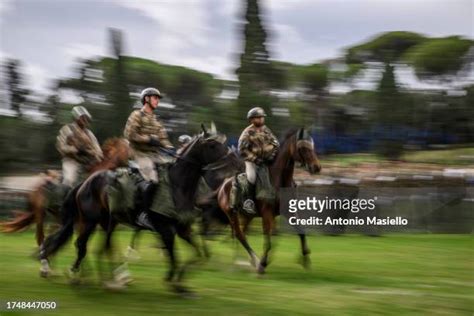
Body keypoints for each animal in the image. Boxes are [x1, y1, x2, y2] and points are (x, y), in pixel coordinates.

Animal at [218, 128, 322, 274]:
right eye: (303, 148)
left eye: (312, 147)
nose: (316, 167)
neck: (279, 180)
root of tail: (222, 187)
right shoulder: (267, 213)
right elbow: (269, 238)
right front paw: (263, 263)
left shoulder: (288, 211)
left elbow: (299, 230)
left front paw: (305, 259)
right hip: (231, 214)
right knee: (239, 234)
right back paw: (252, 262)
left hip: (247, 216)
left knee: (242, 233)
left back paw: (247, 261)